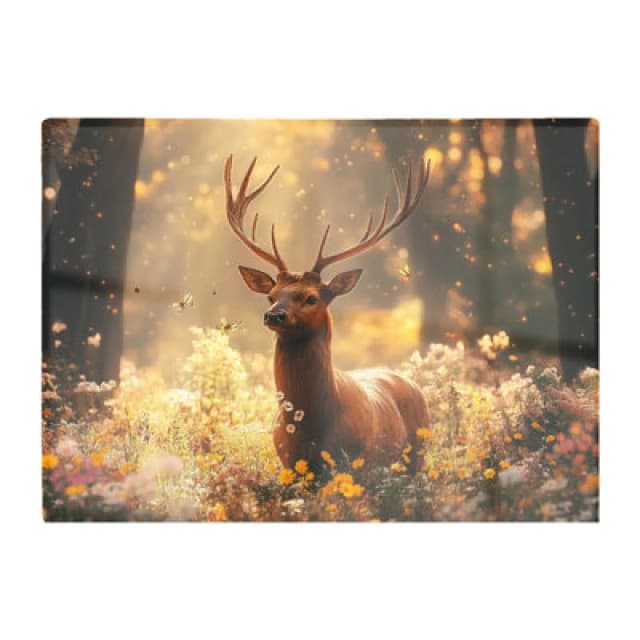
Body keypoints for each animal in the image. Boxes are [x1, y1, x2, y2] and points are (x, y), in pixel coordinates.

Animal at [223, 154, 431, 475]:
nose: (273, 315)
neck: (313, 429)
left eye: (312, 297)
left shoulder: (359, 464)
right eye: (271, 295)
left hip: (418, 454)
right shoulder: (289, 465)